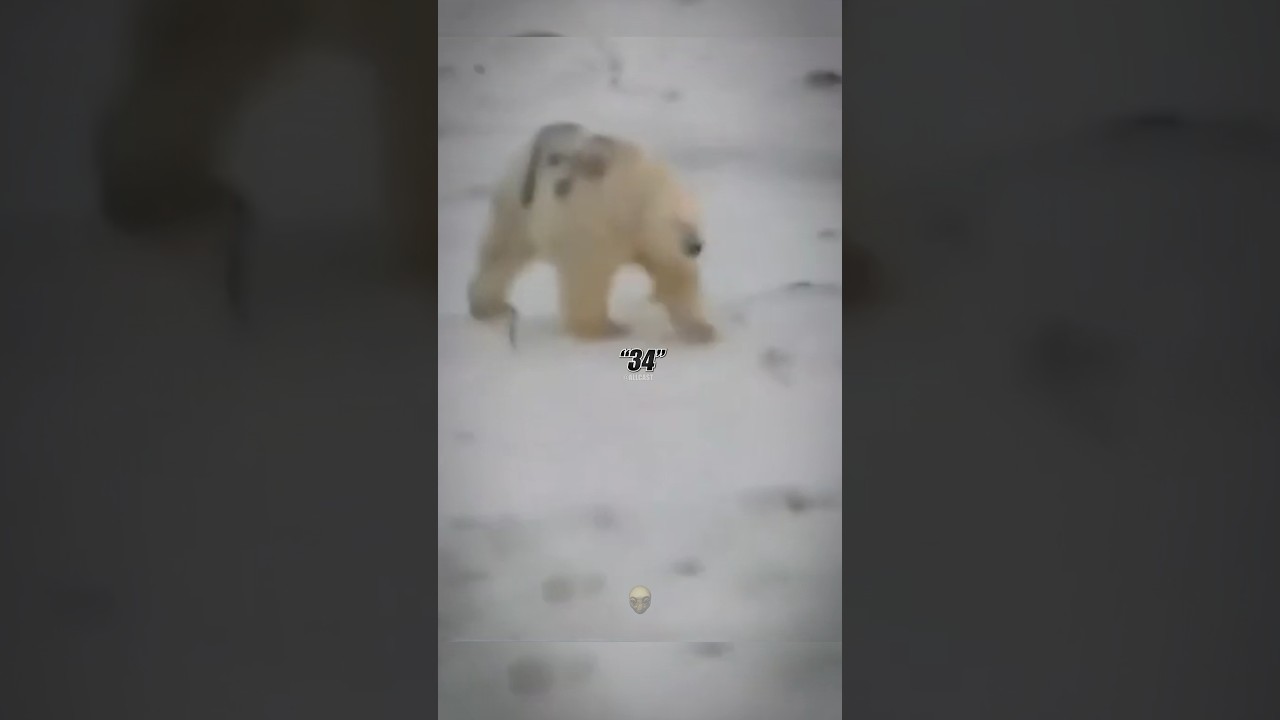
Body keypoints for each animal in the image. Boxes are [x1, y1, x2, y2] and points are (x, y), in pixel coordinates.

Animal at [467, 123, 716, 343]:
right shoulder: (594, 222)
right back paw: (489, 307)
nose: (695, 246)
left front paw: (701, 330)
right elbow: (588, 276)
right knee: (503, 253)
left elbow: (673, 275)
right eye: (678, 222)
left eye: (697, 222)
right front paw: (607, 329)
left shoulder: (651, 241)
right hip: (518, 204)